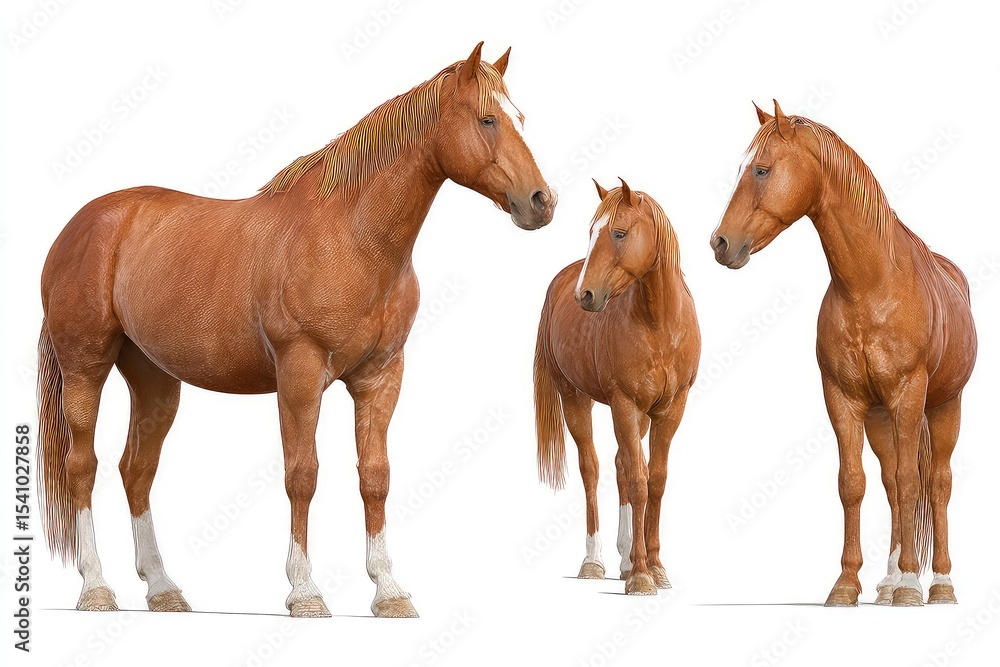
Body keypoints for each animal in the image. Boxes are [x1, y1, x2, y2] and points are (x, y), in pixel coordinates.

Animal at [36, 42, 556, 618]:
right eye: (488, 120)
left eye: (520, 119)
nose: (541, 202)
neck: (352, 236)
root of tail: (80, 226)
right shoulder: (300, 373)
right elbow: (302, 475)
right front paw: (305, 591)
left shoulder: (380, 378)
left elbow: (375, 477)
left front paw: (389, 591)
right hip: (86, 367)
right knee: (82, 465)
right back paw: (95, 587)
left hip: (154, 381)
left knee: (137, 470)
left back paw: (162, 588)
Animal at [534, 179, 700, 595]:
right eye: (591, 232)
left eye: (619, 233)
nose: (585, 295)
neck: (660, 324)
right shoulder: (624, 403)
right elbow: (639, 482)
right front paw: (641, 576)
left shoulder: (670, 408)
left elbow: (654, 480)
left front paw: (654, 566)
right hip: (575, 400)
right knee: (592, 469)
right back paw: (594, 561)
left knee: (621, 465)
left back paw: (624, 560)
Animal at [711, 101, 976, 607]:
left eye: (761, 169)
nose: (720, 244)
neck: (871, 287)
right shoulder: (844, 400)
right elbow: (853, 485)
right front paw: (847, 584)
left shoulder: (909, 396)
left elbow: (915, 484)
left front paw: (912, 585)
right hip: (880, 419)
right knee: (891, 485)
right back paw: (887, 583)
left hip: (943, 406)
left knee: (937, 484)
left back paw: (940, 584)